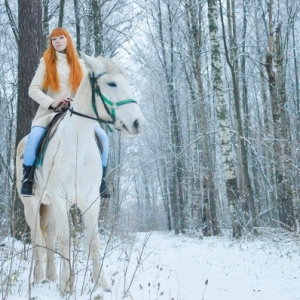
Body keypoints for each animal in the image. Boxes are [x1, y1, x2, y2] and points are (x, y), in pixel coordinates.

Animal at [15, 54, 145, 296]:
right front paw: (68, 286)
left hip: (49, 206)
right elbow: (65, 239)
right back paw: (37, 279)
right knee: (37, 239)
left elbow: (93, 240)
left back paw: (51, 277)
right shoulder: (60, 200)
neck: (77, 142)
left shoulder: (90, 201)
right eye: (111, 84)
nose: (138, 123)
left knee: (49, 236)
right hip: (32, 204)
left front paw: (102, 285)